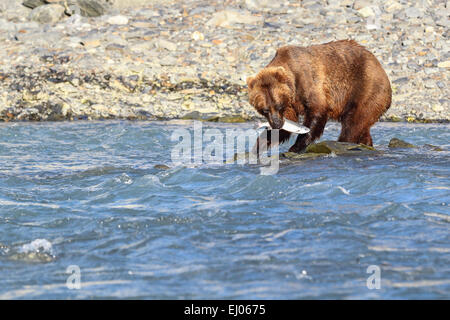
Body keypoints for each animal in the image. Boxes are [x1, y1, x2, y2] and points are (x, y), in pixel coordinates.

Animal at [248, 39, 392, 152]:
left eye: (279, 105)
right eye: (265, 109)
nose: (277, 124)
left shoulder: (307, 81)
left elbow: (317, 111)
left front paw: (296, 146)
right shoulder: (290, 103)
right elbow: (289, 121)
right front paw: (260, 144)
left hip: (365, 89)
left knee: (353, 123)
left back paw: (343, 142)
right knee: (363, 126)